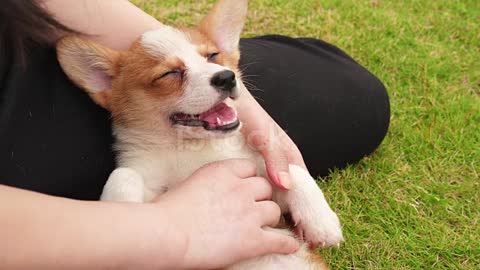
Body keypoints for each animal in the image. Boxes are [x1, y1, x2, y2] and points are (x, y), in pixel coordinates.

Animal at [56, 0, 344, 268]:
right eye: (170, 73)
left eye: (213, 56)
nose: (226, 77)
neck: (193, 148)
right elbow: (123, 175)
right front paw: (126, 220)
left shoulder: (265, 180)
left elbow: (293, 171)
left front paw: (322, 222)